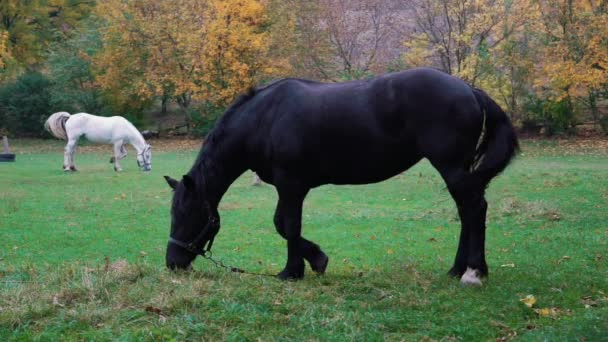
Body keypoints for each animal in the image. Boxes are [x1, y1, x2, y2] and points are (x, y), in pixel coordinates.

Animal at [165, 67, 516, 286]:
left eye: (187, 213)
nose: (172, 262)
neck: (265, 118)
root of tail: (469, 89)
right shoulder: (289, 186)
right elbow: (285, 226)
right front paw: (310, 262)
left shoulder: (291, 184)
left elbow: (287, 225)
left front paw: (298, 269)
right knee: (466, 213)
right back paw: (456, 269)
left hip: (452, 168)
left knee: (474, 210)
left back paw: (473, 272)